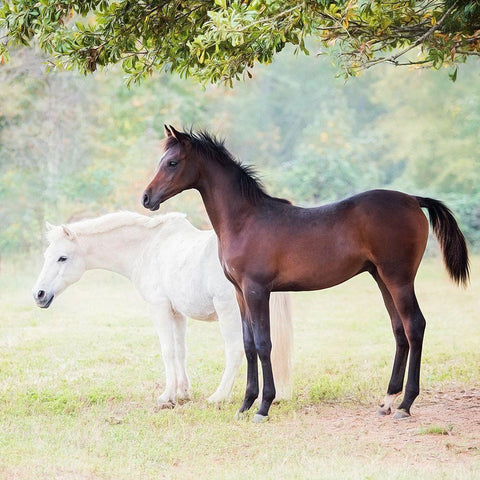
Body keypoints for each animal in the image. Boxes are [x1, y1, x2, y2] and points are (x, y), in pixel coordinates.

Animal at [31, 211, 292, 404]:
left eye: (62, 258)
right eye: (46, 255)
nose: (38, 294)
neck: (147, 248)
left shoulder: (158, 309)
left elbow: (167, 351)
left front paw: (167, 396)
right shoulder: (177, 314)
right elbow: (180, 351)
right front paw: (182, 392)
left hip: (230, 313)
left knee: (236, 350)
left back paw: (219, 396)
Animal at [142, 125, 468, 422]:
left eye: (172, 163)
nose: (146, 198)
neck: (246, 220)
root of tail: (413, 199)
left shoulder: (257, 290)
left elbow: (263, 343)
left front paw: (263, 407)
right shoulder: (240, 293)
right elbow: (248, 344)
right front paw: (245, 405)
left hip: (399, 279)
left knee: (415, 326)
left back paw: (405, 404)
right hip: (381, 278)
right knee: (399, 330)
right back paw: (387, 401)